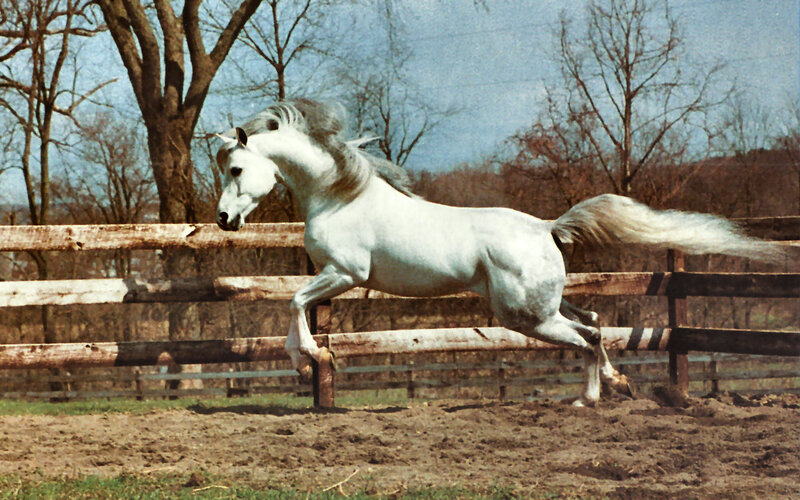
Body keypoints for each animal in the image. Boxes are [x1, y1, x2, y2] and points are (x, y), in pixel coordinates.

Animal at [214, 98, 784, 407]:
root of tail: (548, 227)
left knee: (588, 334)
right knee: (594, 321)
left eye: (236, 168)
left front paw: (307, 358)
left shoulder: (344, 273)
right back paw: (612, 383)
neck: (340, 196)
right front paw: (305, 359)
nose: (223, 219)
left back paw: (588, 397)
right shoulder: (334, 276)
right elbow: (295, 303)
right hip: (543, 304)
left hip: (525, 314)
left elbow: (294, 303)